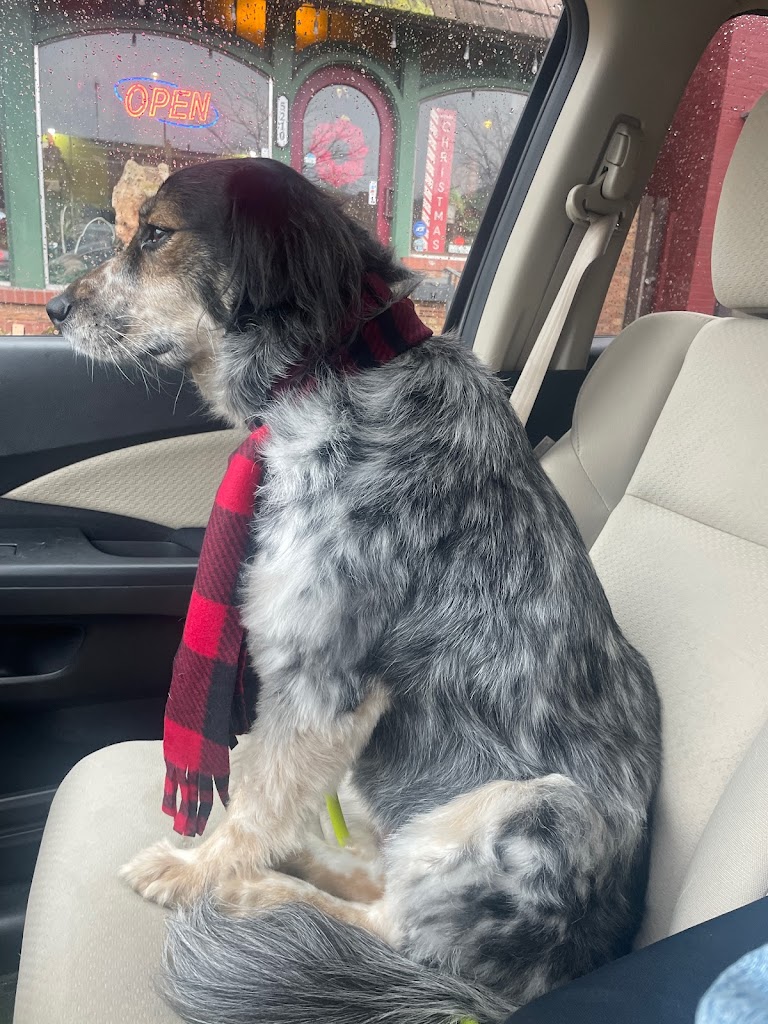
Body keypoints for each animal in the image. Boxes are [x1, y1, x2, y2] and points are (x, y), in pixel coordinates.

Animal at [48, 157, 661, 1024]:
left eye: (156, 234)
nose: (54, 308)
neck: (336, 369)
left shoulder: (322, 676)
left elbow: (260, 796)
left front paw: (201, 872)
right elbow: (263, 789)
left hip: (533, 809)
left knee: (394, 929)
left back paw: (259, 895)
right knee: (385, 875)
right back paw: (309, 861)